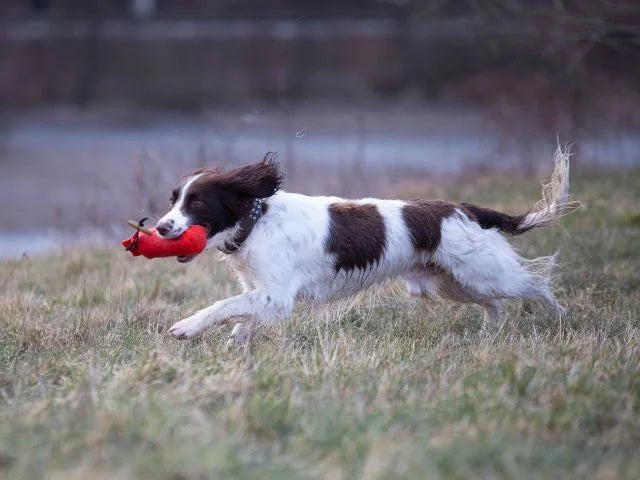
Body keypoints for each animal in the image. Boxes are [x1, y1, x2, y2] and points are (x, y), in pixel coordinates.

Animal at [156, 148, 576, 344]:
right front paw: (236, 345)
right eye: (173, 199)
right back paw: (490, 334)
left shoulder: (277, 295)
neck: (257, 221)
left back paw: (560, 318)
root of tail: (466, 209)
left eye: (197, 202)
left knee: (536, 283)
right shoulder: (262, 293)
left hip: (484, 273)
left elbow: (223, 306)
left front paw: (185, 328)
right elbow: (242, 317)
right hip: (452, 282)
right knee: (496, 306)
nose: (160, 227)